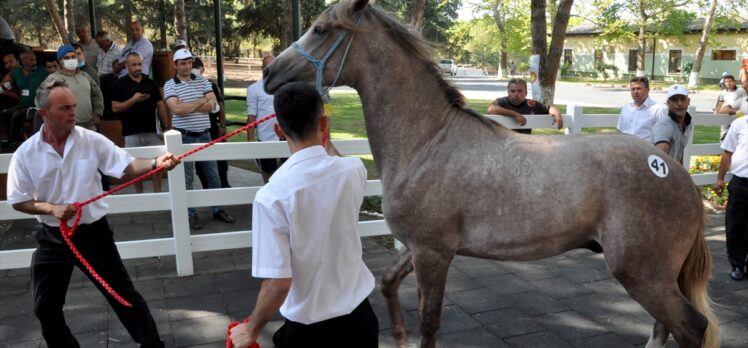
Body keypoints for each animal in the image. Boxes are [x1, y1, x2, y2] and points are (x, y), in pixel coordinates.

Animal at [262, 1, 720, 346]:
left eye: (320, 29)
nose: (269, 74)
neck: (429, 140)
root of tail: (677, 175)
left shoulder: (433, 253)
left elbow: (431, 321)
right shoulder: (420, 246)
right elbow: (388, 282)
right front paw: (399, 333)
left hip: (642, 273)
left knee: (689, 327)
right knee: (665, 326)